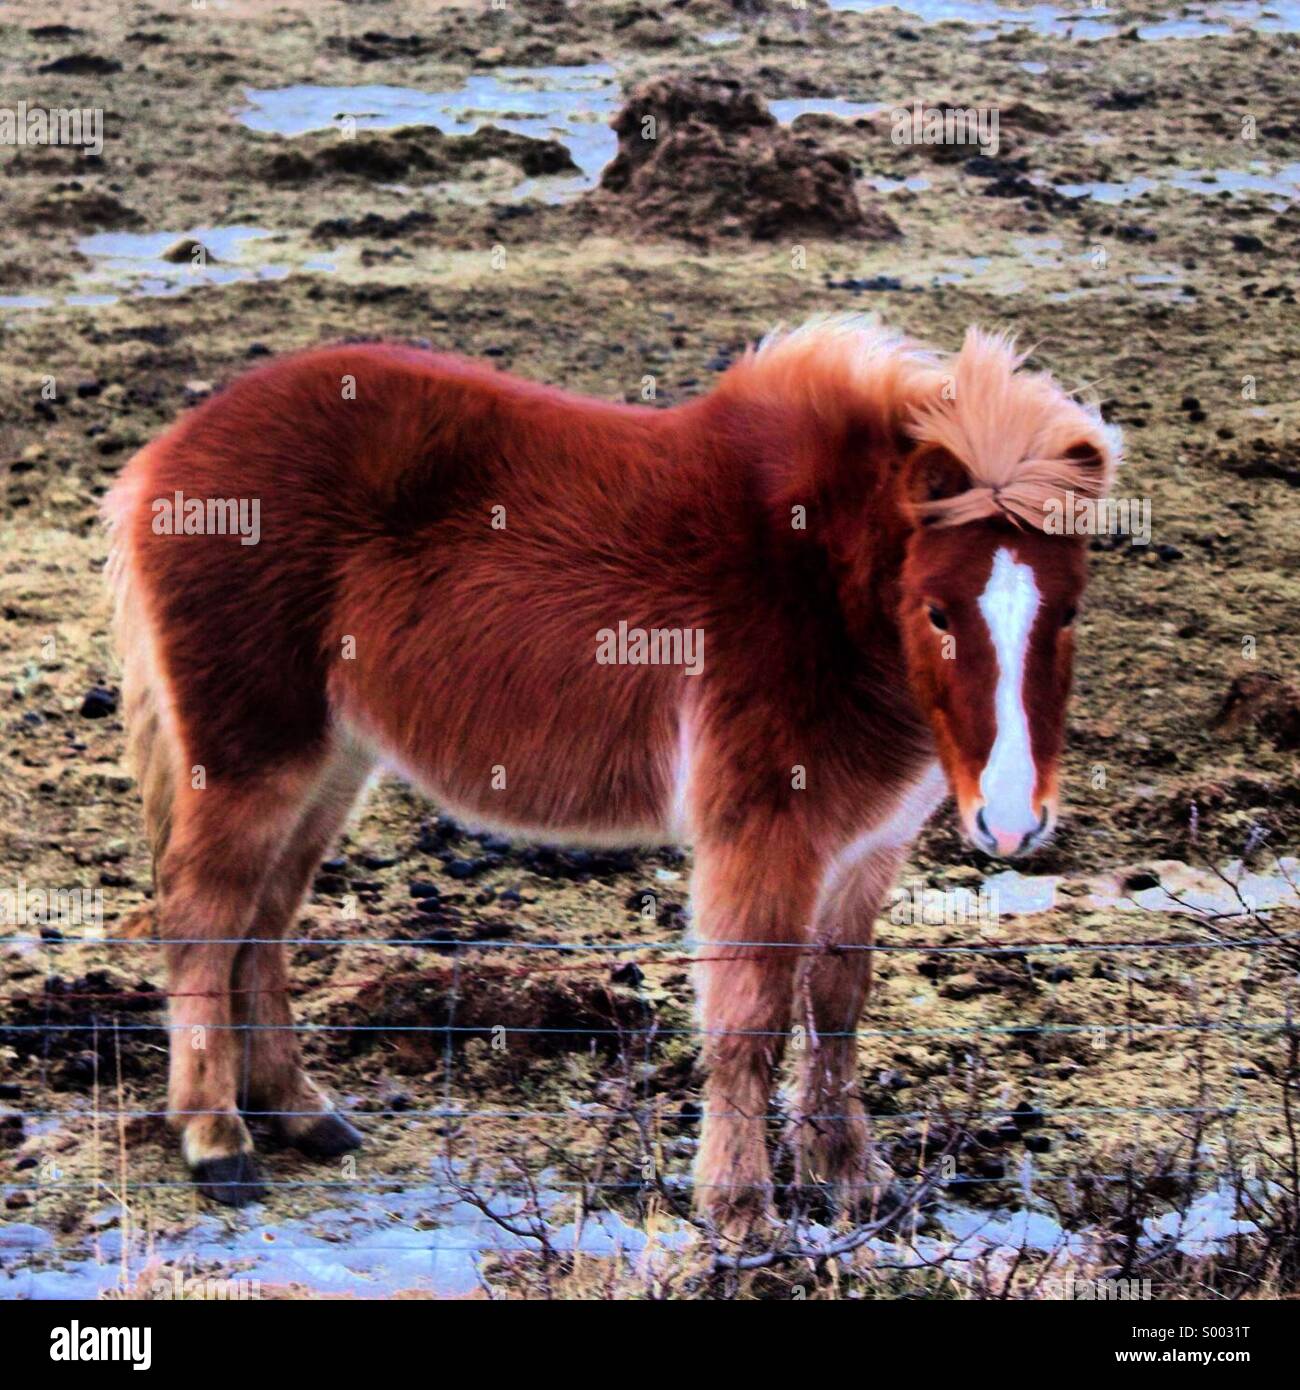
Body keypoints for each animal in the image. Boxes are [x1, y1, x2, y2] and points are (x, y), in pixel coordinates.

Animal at [105, 315, 1118, 1234]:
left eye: (1068, 611)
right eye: (938, 611)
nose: (1012, 822)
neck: (819, 578)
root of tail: (166, 455)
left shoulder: (865, 851)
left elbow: (836, 1010)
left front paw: (855, 1183)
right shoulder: (764, 834)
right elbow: (750, 1018)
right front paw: (742, 1214)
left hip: (333, 760)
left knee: (262, 922)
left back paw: (301, 1115)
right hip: (253, 754)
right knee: (204, 918)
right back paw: (218, 1145)